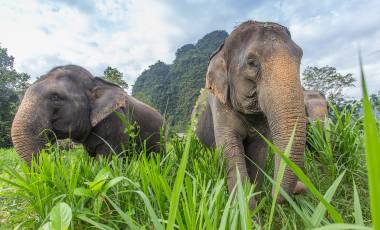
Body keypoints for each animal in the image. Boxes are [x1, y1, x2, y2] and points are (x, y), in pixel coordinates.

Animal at [194, 20, 308, 207]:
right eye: (252, 63)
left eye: (300, 56)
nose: (301, 188)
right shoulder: (219, 104)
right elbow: (230, 148)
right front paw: (244, 208)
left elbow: (258, 152)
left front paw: (255, 202)